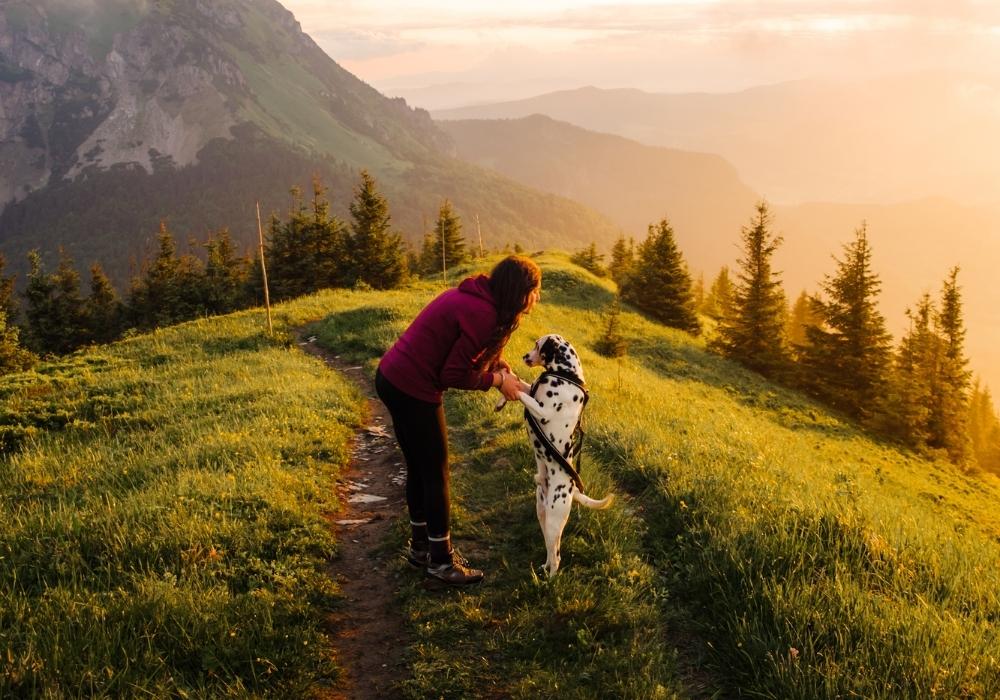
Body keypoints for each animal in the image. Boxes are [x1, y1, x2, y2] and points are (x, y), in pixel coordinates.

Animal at [504, 334, 612, 576]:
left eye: (537, 345)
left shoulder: (543, 410)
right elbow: (524, 386)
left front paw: (507, 386)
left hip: (554, 519)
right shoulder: (533, 391)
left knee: (558, 557)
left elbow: (522, 394)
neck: (566, 374)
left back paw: (549, 579)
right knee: (551, 550)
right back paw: (544, 568)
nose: (525, 356)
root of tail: (572, 490)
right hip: (543, 515)